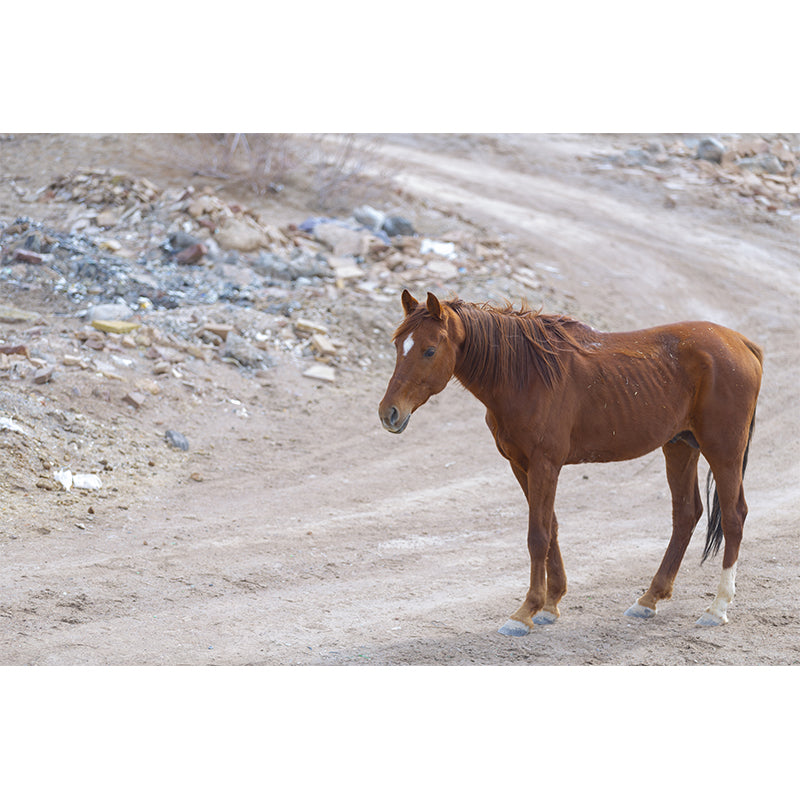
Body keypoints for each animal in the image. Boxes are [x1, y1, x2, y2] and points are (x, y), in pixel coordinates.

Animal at [378, 290, 763, 636]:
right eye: (398, 347)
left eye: (429, 350)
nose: (389, 413)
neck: (525, 375)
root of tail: (742, 343)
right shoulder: (521, 465)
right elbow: (551, 527)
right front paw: (550, 604)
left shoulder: (544, 464)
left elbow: (537, 535)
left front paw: (525, 613)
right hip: (680, 447)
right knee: (686, 515)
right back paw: (649, 599)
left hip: (722, 451)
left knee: (733, 517)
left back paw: (717, 608)